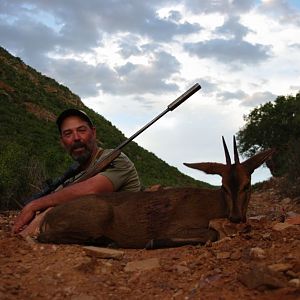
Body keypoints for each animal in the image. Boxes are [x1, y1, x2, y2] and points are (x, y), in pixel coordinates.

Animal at [36, 138, 274, 248]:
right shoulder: (181, 226)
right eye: (223, 186)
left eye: (247, 185)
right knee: (44, 237)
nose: (235, 217)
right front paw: (154, 241)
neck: (215, 203)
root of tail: (49, 215)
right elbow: (211, 234)